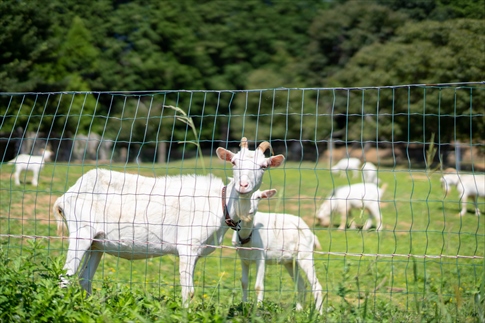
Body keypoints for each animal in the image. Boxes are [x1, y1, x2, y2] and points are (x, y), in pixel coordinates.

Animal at [53, 138, 286, 308]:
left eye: (264, 166)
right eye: (234, 162)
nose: (243, 185)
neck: (220, 204)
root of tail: (66, 195)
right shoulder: (187, 246)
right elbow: (188, 292)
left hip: (97, 243)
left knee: (84, 279)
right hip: (81, 232)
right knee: (66, 276)